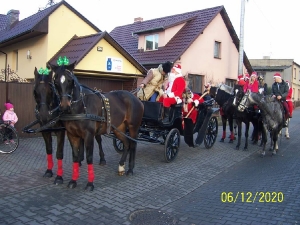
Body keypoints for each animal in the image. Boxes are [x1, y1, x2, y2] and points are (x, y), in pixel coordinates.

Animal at [49, 61, 144, 190]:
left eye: (70, 80)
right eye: (56, 81)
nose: (64, 105)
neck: (80, 107)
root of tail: (136, 98)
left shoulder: (89, 135)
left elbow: (89, 157)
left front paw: (90, 184)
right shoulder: (72, 135)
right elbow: (75, 157)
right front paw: (73, 181)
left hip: (133, 127)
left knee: (133, 145)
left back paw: (130, 169)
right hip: (119, 129)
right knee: (126, 144)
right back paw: (121, 166)